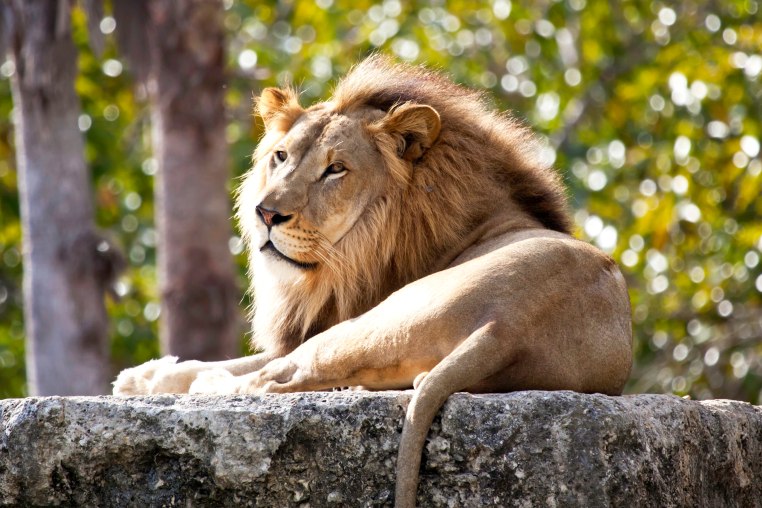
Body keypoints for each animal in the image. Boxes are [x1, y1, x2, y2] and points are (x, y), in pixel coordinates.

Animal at [113, 55, 632, 507]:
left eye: (334, 169)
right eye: (280, 156)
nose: (266, 213)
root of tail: (506, 329)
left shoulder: (330, 318)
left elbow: (251, 363)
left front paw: (152, 378)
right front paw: (141, 377)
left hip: (376, 319)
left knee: (275, 381)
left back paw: (209, 387)